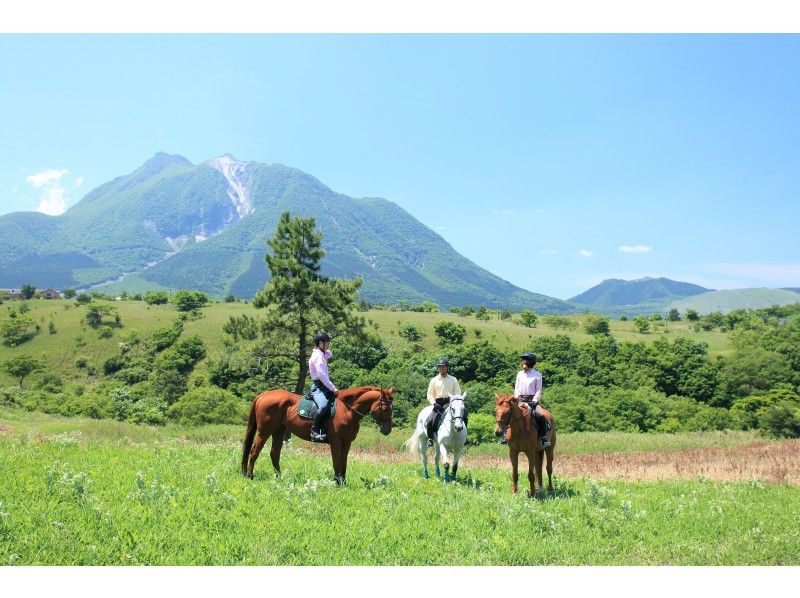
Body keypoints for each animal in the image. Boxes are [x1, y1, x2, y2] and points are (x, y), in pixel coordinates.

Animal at [241, 385, 393, 485]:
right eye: (385, 408)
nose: (387, 430)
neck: (348, 411)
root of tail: (263, 395)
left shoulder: (347, 443)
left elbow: (344, 462)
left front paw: (343, 482)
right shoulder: (336, 442)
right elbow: (336, 462)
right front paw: (337, 482)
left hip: (279, 431)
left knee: (274, 453)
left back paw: (280, 477)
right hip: (265, 431)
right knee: (254, 451)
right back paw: (250, 476)